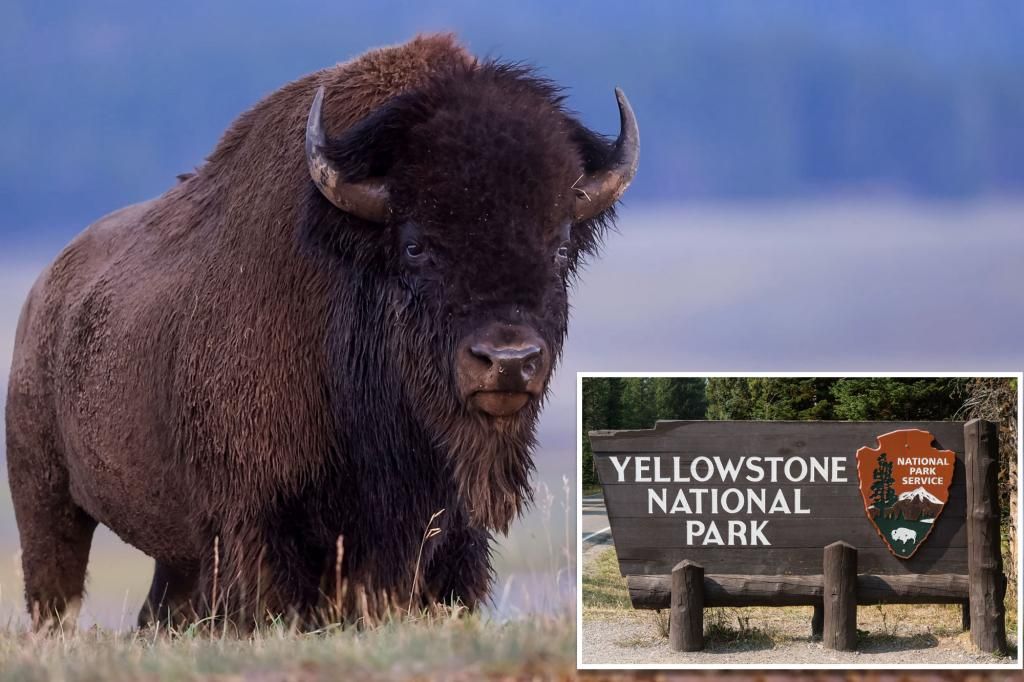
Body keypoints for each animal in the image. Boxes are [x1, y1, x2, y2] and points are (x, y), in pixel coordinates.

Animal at [4, 33, 634, 626]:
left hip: (171, 555)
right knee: (55, 595)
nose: (507, 361)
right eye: (415, 245)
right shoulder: (257, 527)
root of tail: (43, 295)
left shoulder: (450, 538)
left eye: (560, 247)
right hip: (47, 503)